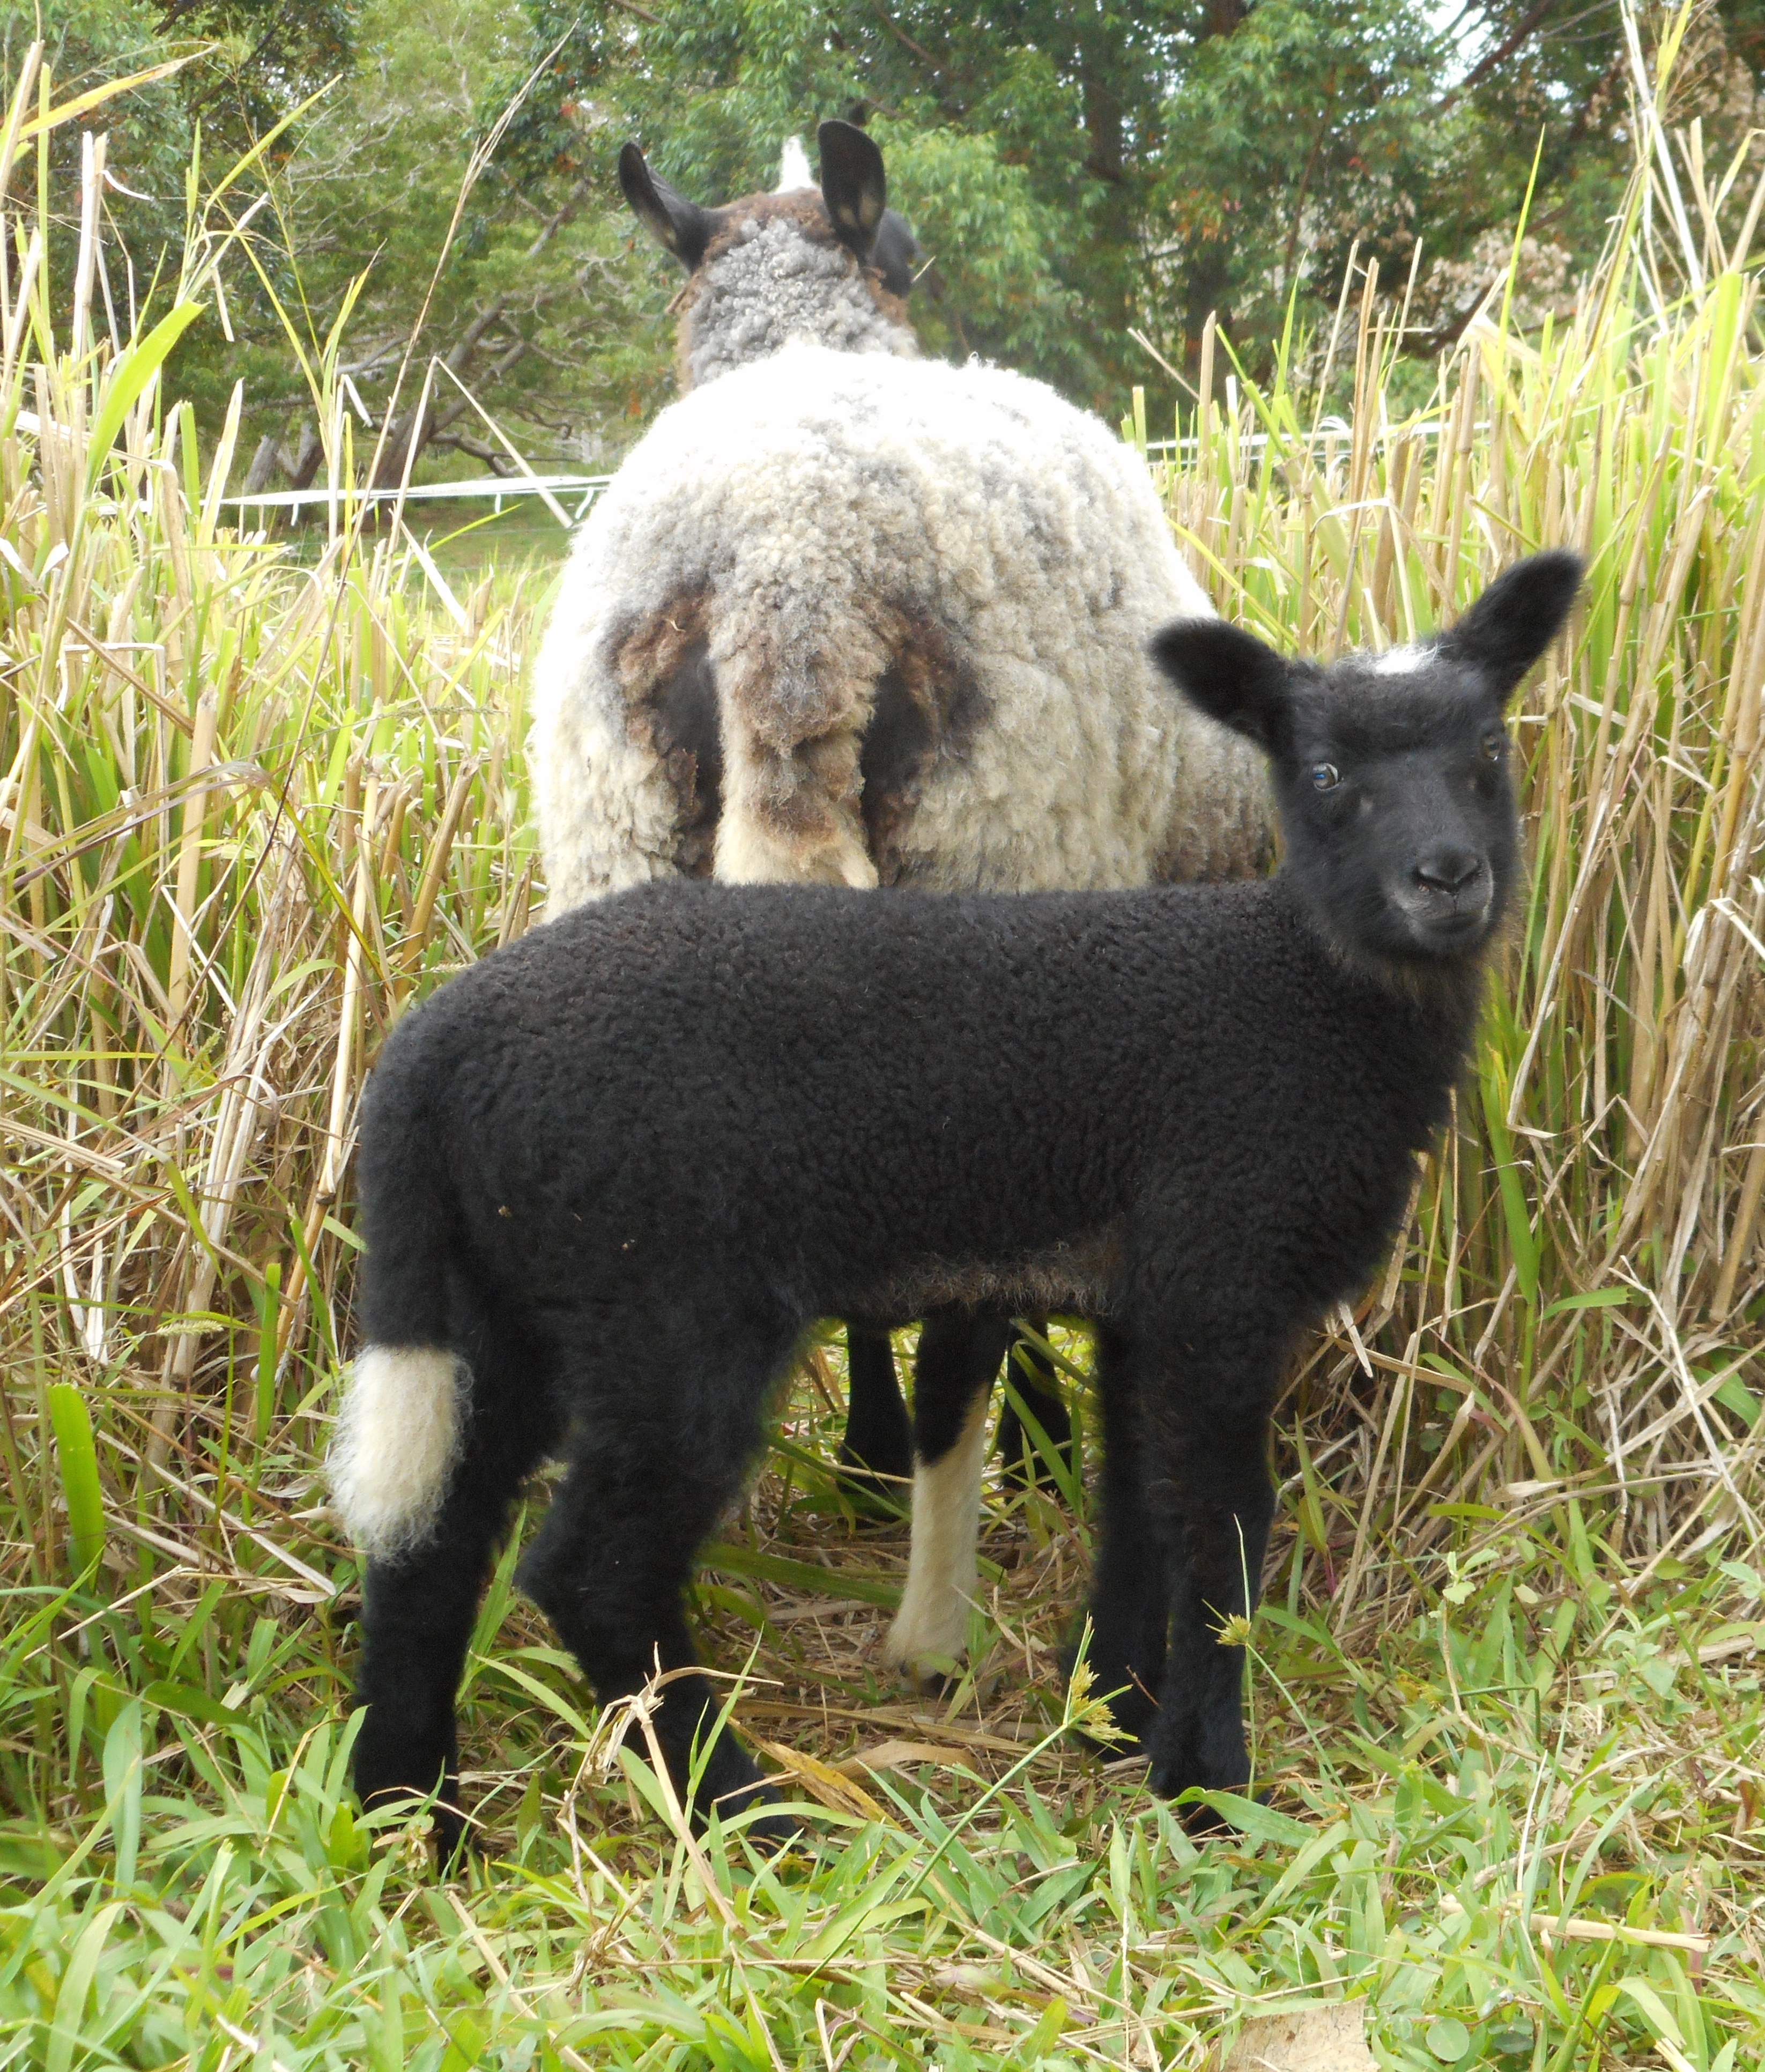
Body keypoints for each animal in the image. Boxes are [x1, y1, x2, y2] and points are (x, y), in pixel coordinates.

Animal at [331, 547, 1582, 1848]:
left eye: (1488, 750)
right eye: (1325, 773)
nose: (1448, 879)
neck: (1305, 997)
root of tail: (430, 1050)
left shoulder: (1143, 1298)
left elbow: (1134, 1505)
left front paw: (1110, 1710)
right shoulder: (1218, 1274)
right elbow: (1221, 1529)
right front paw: (1205, 1785)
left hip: (509, 1293)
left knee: (432, 1535)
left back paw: (410, 1813)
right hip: (665, 1299)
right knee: (588, 1570)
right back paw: (744, 1807)